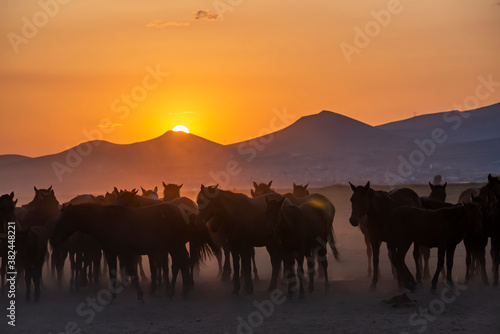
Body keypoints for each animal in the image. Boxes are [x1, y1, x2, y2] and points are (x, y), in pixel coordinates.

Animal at [50, 202, 199, 302]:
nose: (53, 241)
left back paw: (177, 291)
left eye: (61, 219)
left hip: (175, 245)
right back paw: (179, 291)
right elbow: (118, 273)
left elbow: (128, 272)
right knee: (181, 264)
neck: (106, 222)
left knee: (181, 263)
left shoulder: (120, 253)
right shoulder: (115, 253)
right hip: (175, 246)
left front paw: (137, 295)